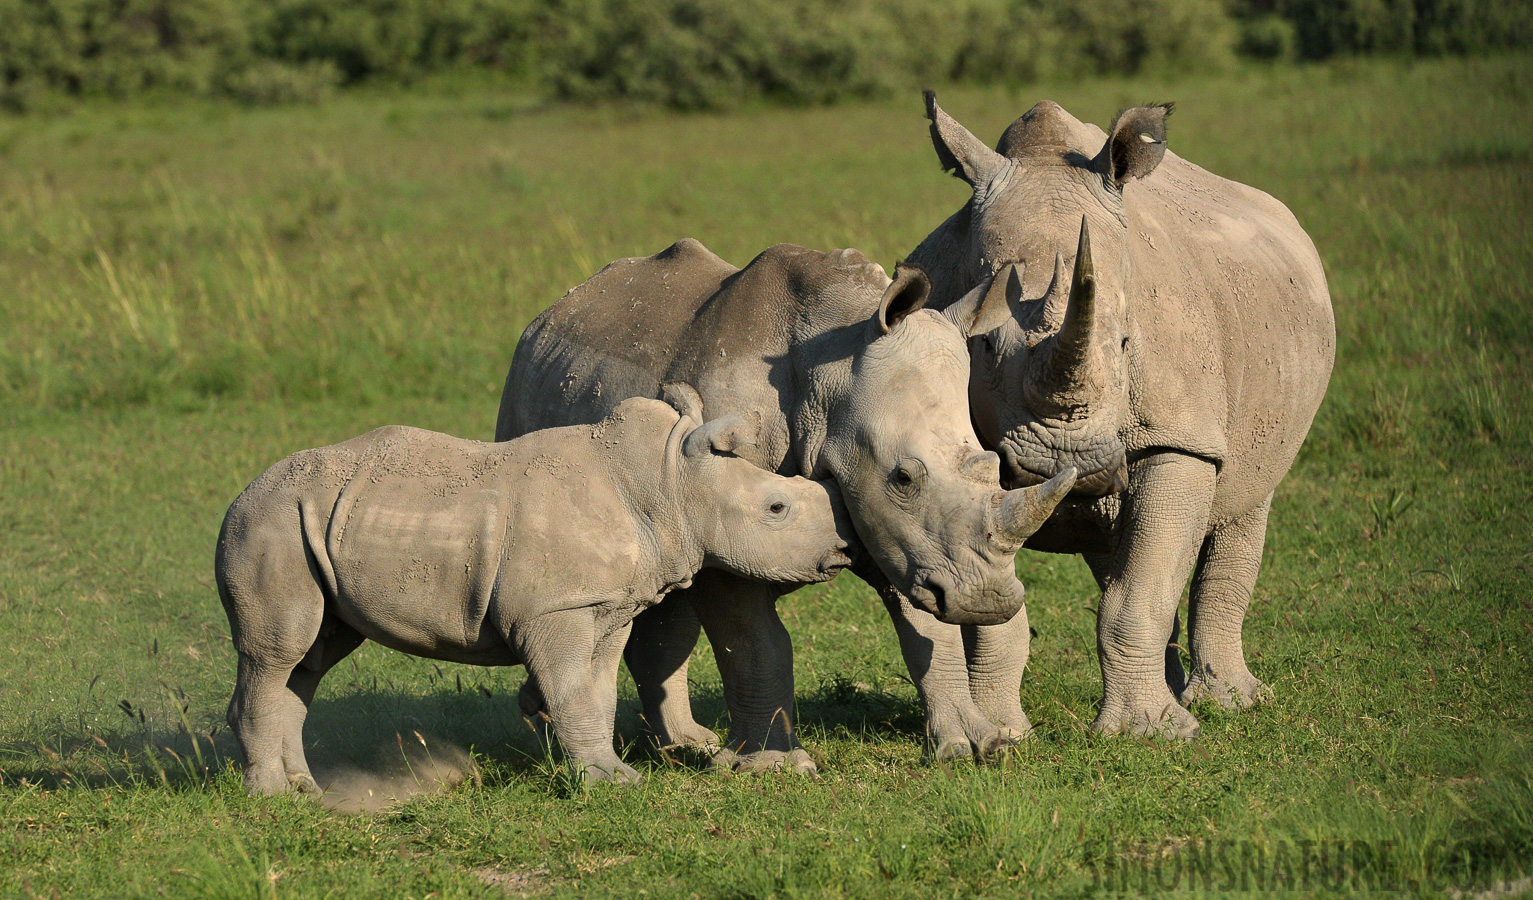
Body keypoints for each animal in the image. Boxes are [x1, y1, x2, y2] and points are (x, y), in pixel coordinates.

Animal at [216, 390, 852, 791]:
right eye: (777, 509)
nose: (843, 549)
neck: (671, 482)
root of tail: (237, 496)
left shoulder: (604, 606)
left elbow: (596, 691)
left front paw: (609, 774)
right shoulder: (555, 610)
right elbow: (572, 690)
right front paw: (607, 784)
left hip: (307, 522)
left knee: (311, 657)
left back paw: (305, 789)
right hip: (269, 521)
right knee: (280, 652)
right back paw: (270, 797)